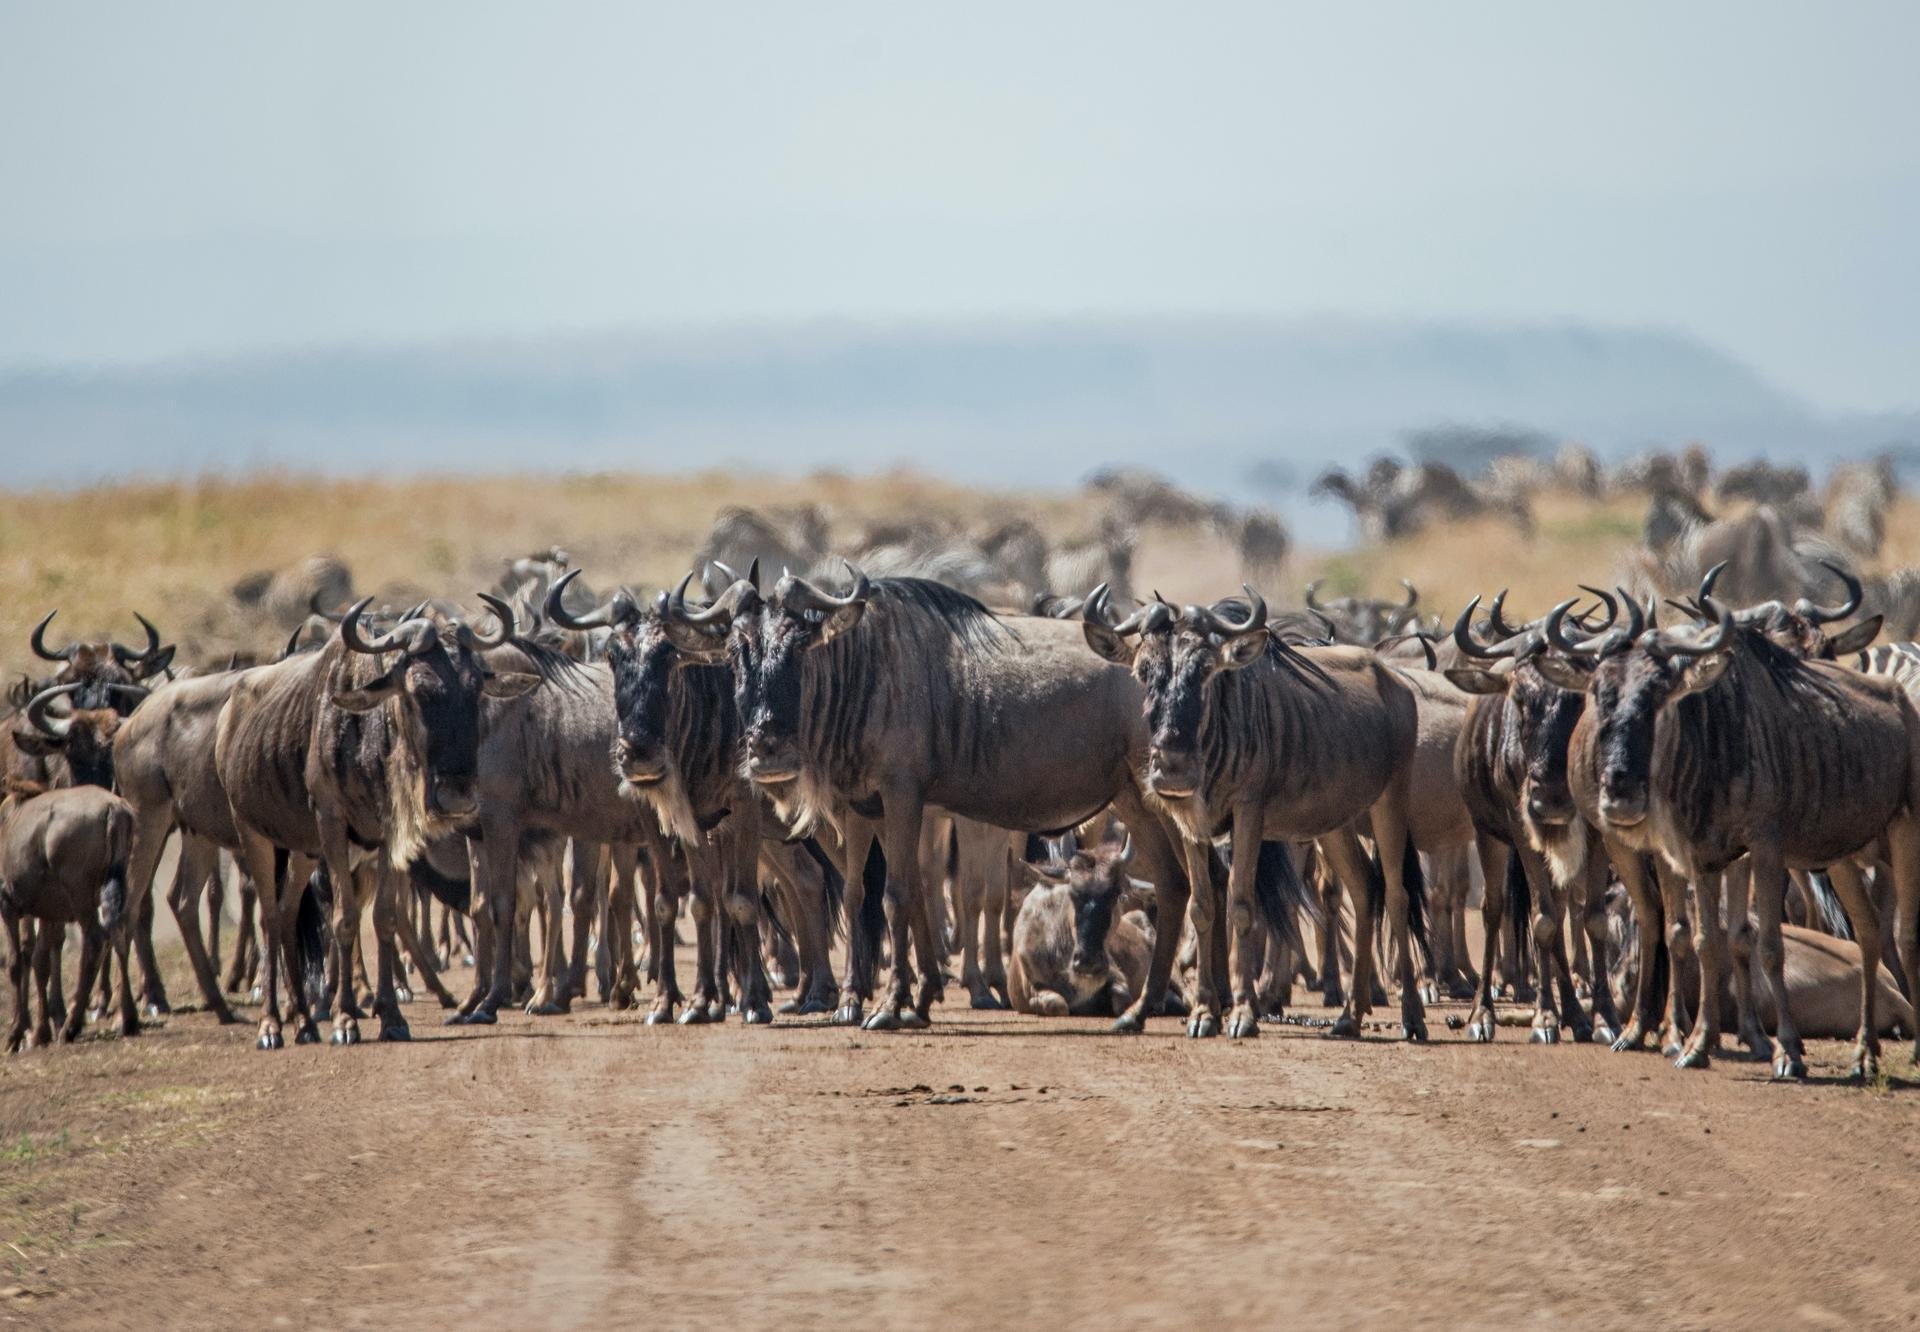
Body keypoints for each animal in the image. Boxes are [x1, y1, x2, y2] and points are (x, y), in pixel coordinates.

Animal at [1082, 591, 1428, 1044]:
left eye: (1206, 670)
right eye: (1143, 672)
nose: (1171, 768)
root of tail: (1395, 681)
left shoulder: (1249, 814)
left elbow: (1242, 905)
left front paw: (1243, 1014)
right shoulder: (1191, 823)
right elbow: (1202, 905)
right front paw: (1203, 1014)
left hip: (1390, 804)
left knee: (1396, 894)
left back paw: (1412, 1017)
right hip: (1334, 825)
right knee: (1364, 889)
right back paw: (1349, 1017)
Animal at [1543, 591, 1920, 1082]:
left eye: (1659, 694)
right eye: (1596, 694)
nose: (1620, 792)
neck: (1712, 740)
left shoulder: (1765, 849)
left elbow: (1768, 945)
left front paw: (1786, 1050)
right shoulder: (1704, 856)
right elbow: (1705, 941)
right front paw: (1697, 1044)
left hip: (1905, 832)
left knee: (1906, 935)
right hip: (1844, 855)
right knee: (1871, 934)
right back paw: (1863, 1055)